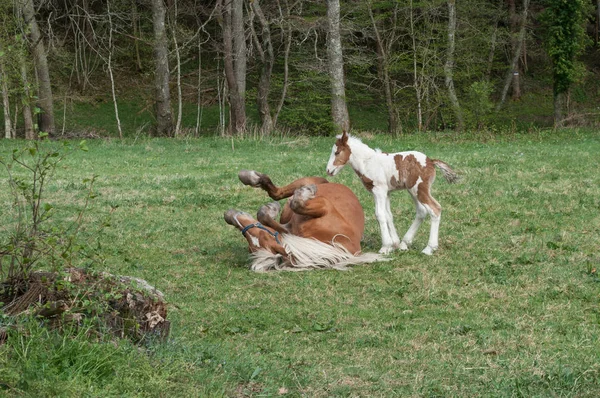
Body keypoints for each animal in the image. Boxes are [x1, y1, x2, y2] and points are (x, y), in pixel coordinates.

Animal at [223, 169, 386, 272]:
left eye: (263, 235)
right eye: (247, 239)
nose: (229, 215)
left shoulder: (325, 206)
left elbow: (295, 203)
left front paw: (304, 192)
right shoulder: (292, 227)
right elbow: (265, 214)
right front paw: (271, 208)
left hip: (308, 181)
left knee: (279, 193)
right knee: (278, 193)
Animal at [324, 131, 460, 255]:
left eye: (336, 152)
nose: (328, 170)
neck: (368, 162)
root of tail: (430, 161)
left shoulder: (379, 191)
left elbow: (380, 214)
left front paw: (385, 247)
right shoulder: (386, 193)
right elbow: (388, 215)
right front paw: (394, 244)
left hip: (419, 189)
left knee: (435, 209)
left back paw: (429, 248)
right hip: (413, 191)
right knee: (422, 211)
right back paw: (404, 243)